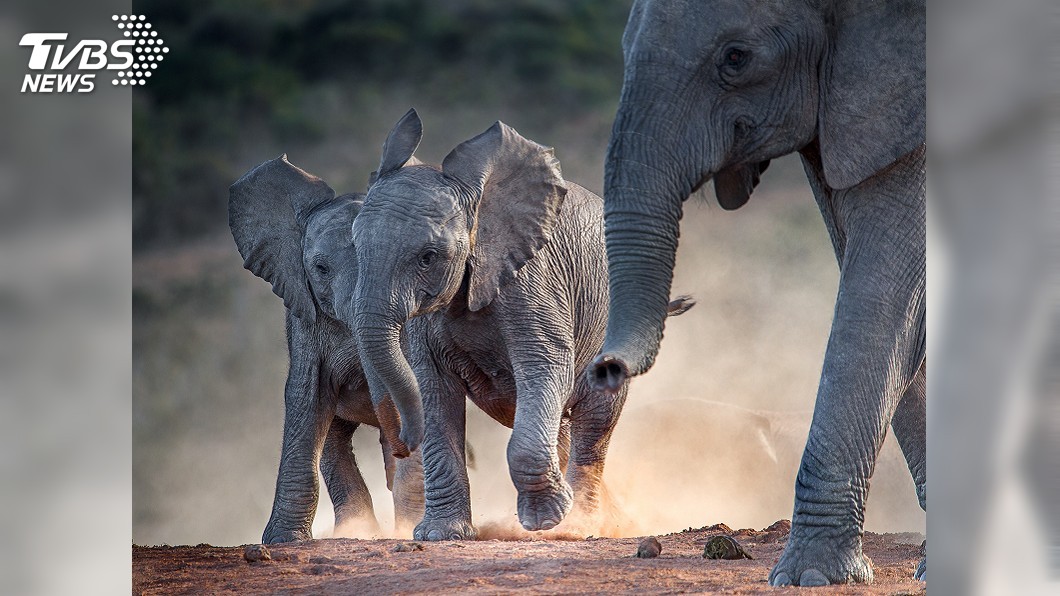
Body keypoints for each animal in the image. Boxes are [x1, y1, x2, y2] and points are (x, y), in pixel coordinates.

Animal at [229, 155, 425, 544]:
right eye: (320, 268)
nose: (402, 443)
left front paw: (411, 527)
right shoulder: (304, 315)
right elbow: (306, 397)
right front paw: (283, 541)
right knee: (334, 442)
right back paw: (357, 529)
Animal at [349, 109, 694, 540]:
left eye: (428, 257)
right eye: (354, 246)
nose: (401, 443)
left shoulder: (532, 280)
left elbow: (544, 366)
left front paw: (545, 522)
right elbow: (435, 390)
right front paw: (440, 535)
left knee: (593, 424)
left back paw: (580, 525)